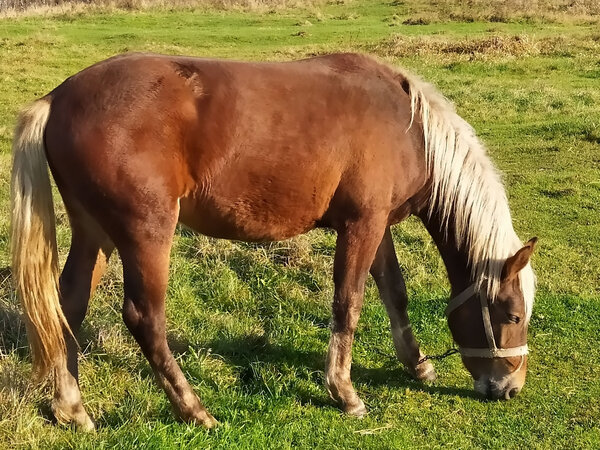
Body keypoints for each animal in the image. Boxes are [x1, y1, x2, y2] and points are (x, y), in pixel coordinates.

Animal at [10, 51, 536, 428]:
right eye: (511, 315)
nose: (509, 387)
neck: (408, 127)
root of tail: (57, 99)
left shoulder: (378, 224)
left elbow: (395, 293)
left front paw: (417, 364)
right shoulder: (361, 225)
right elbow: (349, 302)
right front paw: (345, 393)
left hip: (93, 231)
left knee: (67, 305)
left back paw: (72, 408)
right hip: (146, 232)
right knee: (145, 318)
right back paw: (194, 410)